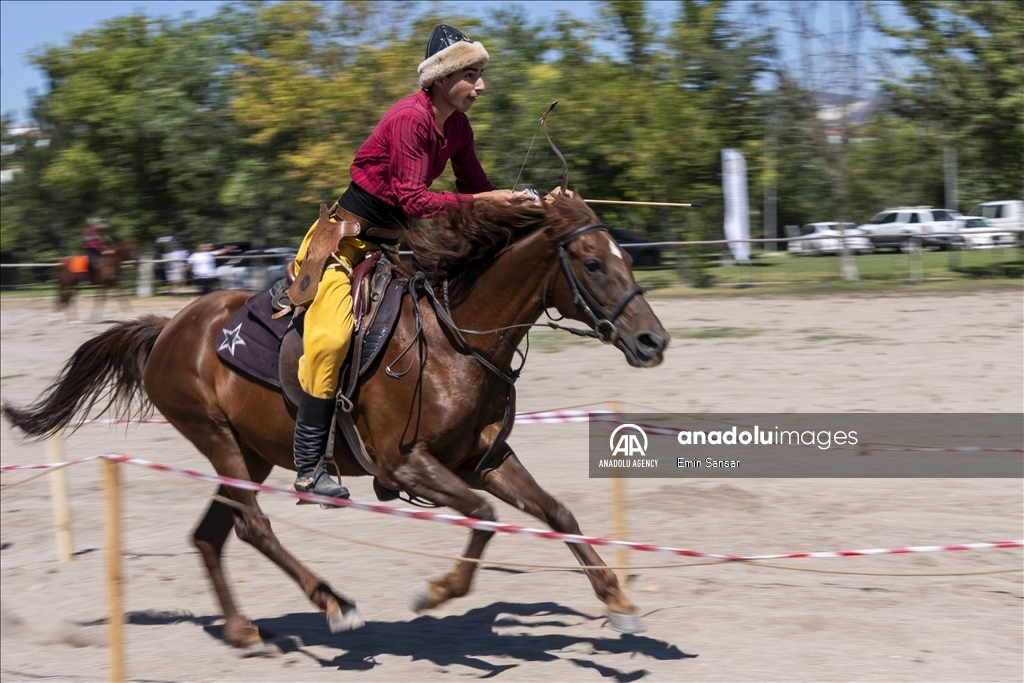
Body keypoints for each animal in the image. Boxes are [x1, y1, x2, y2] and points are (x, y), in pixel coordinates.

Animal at [2, 192, 671, 647]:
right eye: (591, 262)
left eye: (624, 257)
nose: (652, 341)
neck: (454, 340)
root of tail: (168, 327)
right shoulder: (406, 466)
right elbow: (483, 518)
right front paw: (437, 592)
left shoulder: (483, 460)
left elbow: (557, 513)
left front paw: (618, 600)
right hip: (218, 439)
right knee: (252, 527)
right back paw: (332, 602)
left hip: (248, 455)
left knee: (211, 534)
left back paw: (244, 630)